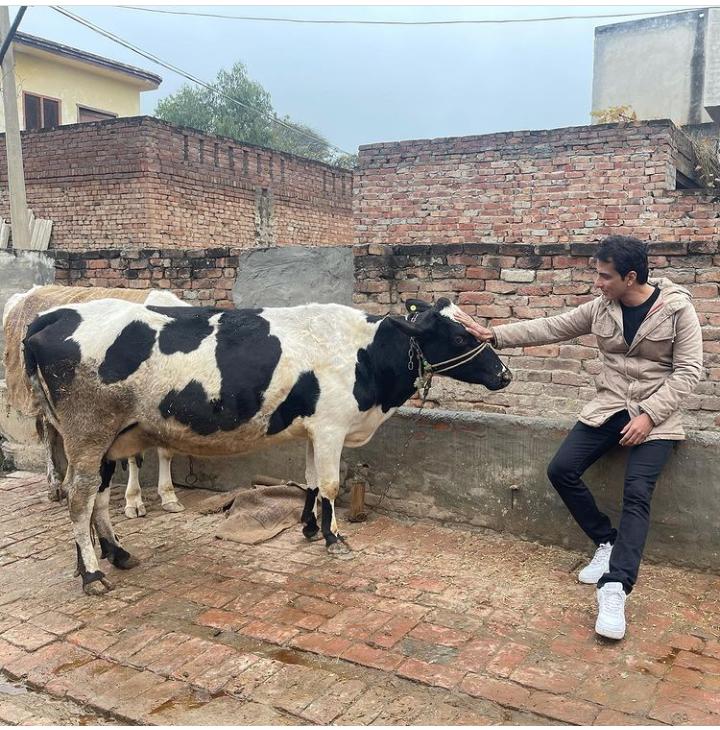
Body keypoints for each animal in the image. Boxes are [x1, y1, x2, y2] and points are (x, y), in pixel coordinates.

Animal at [23, 296, 512, 592]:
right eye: (461, 336)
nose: (505, 374)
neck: (364, 353)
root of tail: (55, 314)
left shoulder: (315, 429)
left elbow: (311, 480)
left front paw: (310, 528)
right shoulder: (332, 428)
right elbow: (331, 485)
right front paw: (335, 539)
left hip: (106, 440)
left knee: (97, 499)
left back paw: (115, 554)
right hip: (88, 433)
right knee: (79, 498)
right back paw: (91, 574)